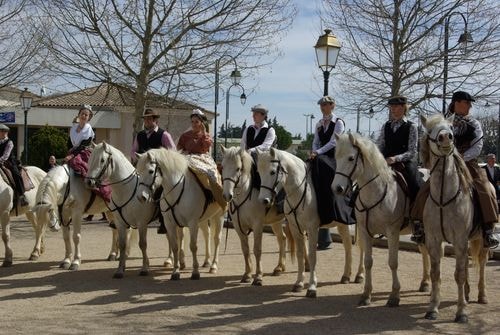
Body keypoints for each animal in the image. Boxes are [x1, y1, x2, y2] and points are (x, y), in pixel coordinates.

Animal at [136, 148, 224, 280]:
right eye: (138, 171)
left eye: (151, 171)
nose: (141, 197)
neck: (176, 190)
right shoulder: (170, 224)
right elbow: (175, 246)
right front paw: (175, 272)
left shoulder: (192, 223)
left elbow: (193, 246)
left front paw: (195, 272)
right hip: (203, 219)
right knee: (206, 234)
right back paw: (206, 261)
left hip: (219, 216)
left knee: (217, 239)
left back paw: (213, 265)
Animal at [221, 147, 292, 286]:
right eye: (222, 167)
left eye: (238, 168)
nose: (227, 195)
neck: (245, 194)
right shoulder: (239, 227)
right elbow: (245, 249)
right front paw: (247, 274)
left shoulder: (257, 225)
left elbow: (257, 249)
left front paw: (258, 276)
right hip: (276, 222)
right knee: (282, 239)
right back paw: (279, 268)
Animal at [256, 148, 362, 298]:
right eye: (259, 172)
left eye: (272, 172)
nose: (263, 201)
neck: (301, 192)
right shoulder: (295, 228)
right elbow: (300, 254)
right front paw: (299, 283)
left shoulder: (312, 229)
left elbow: (312, 256)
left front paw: (312, 287)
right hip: (342, 224)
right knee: (348, 246)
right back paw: (346, 276)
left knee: (361, 247)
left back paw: (360, 275)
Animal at [332, 133, 430, 308]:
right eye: (336, 157)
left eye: (351, 158)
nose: (337, 188)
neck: (376, 192)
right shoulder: (365, 231)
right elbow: (368, 261)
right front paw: (366, 294)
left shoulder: (392, 232)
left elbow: (393, 262)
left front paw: (394, 296)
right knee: (424, 252)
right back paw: (425, 283)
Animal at [420, 114, 486, 324]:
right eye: (430, 130)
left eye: (451, 128)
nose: (446, 138)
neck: (444, 197)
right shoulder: (433, 240)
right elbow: (436, 273)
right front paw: (432, 308)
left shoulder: (459, 240)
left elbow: (459, 274)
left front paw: (461, 312)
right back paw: (467, 293)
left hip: (481, 239)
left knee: (481, 263)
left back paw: (481, 295)